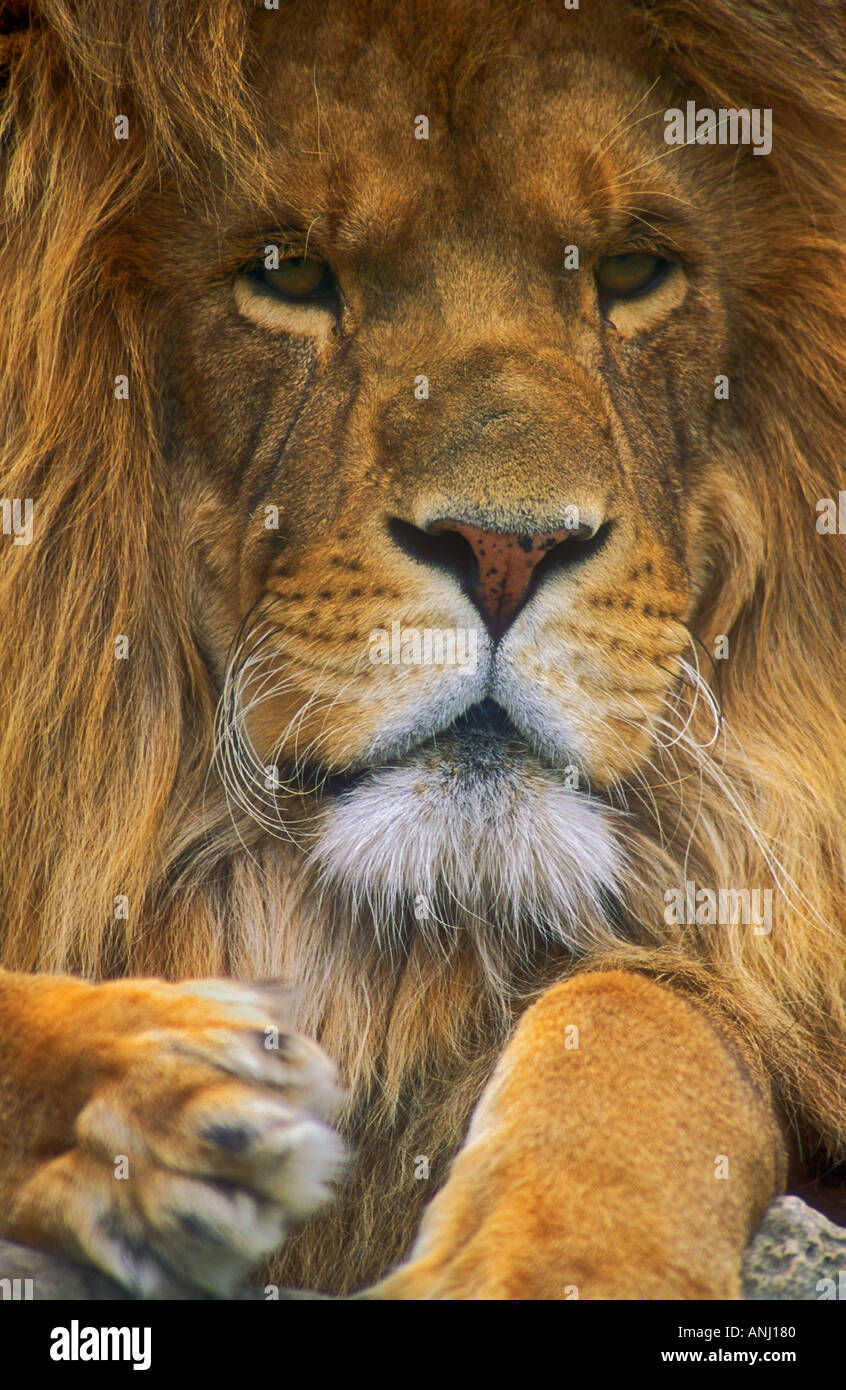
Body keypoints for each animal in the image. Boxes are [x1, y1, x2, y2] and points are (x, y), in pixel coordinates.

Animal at [0, 0, 844, 1301]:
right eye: (287, 272)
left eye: (634, 270)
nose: (505, 551)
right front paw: (157, 1097)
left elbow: (651, 1012)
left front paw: (552, 1261)